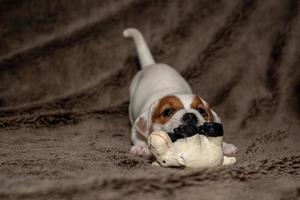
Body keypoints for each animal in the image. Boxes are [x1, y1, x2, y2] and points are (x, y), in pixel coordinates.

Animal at [123, 27, 238, 156]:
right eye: (167, 112)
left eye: (201, 111)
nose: (190, 116)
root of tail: (151, 65)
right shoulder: (136, 128)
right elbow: (137, 136)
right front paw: (142, 146)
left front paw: (224, 145)